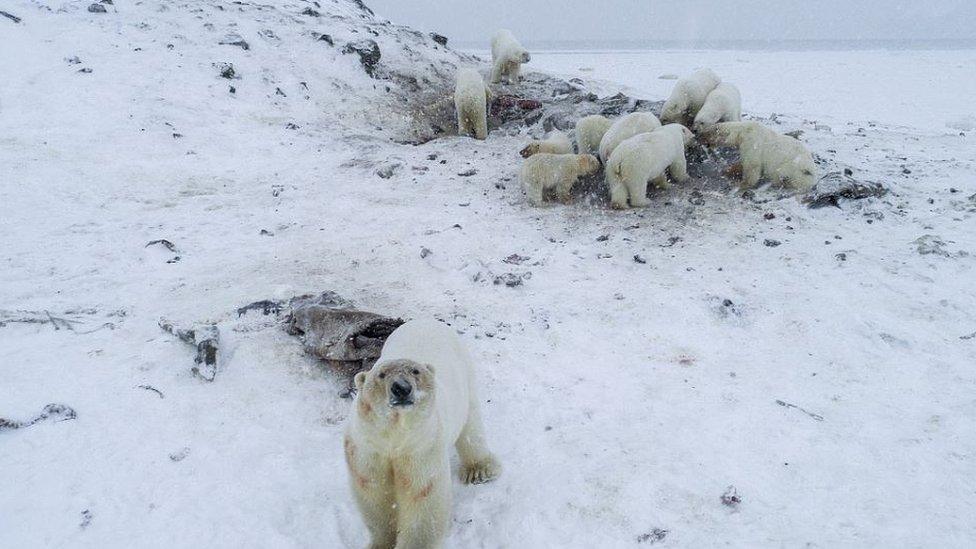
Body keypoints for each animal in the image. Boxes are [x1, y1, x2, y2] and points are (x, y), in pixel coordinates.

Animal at [344, 316, 500, 548]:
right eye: (381, 374)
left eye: (415, 371)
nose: (401, 387)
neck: (394, 437)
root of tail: (425, 320)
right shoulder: (367, 449)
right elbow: (375, 494)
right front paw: (380, 543)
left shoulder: (421, 448)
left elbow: (422, 497)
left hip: (465, 377)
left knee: (471, 425)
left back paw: (479, 470)